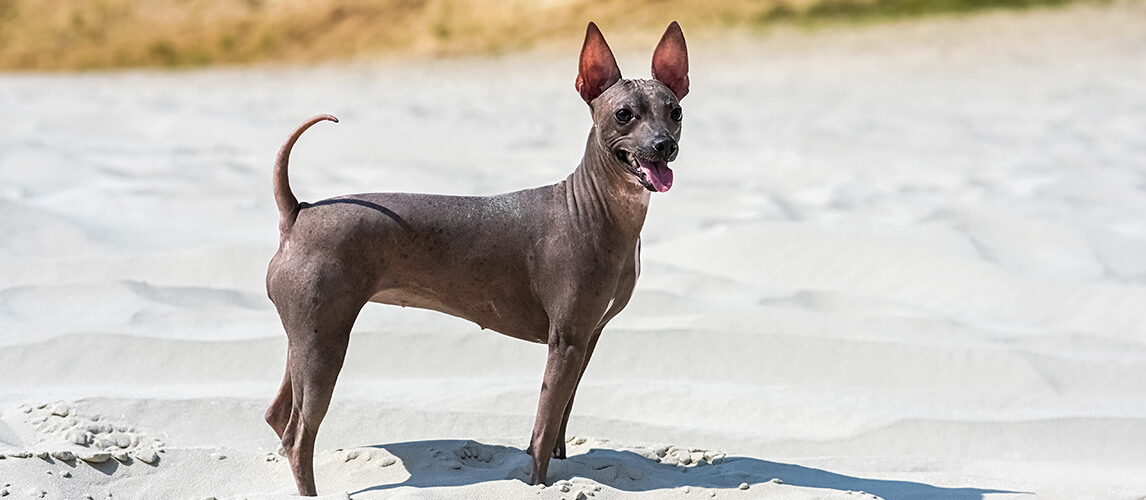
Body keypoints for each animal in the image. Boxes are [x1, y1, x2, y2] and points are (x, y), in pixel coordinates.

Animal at [263, 21, 683, 493]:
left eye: (675, 112)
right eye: (624, 114)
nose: (664, 146)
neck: (594, 207)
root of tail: (298, 211)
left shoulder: (586, 339)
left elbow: (561, 420)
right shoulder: (566, 341)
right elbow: (542, 431)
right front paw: (536, 484)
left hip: (306, 336)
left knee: (278, 415)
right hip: (324, 344)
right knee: (299, 434)